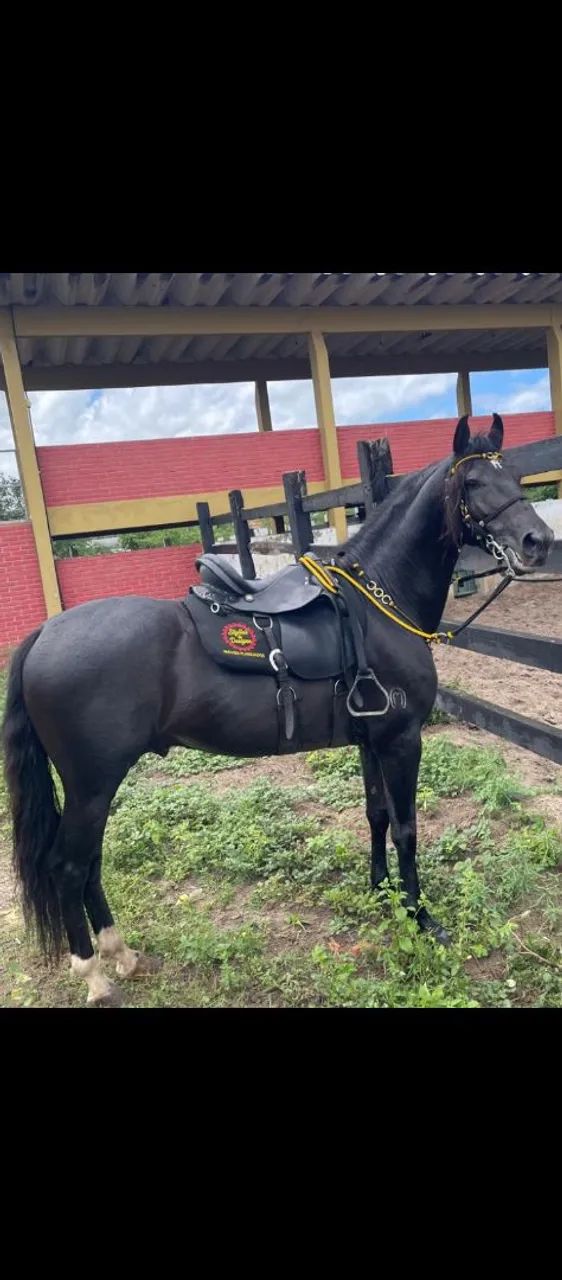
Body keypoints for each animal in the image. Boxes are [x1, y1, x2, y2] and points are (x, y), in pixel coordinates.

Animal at [2, 414, 554, 1006]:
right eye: (472, 483)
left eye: (515, 475)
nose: (539, 541)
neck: (378, 603)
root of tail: (44, 633)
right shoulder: (402, 741)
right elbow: (407, 828)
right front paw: (420, 917)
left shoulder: (371, 741)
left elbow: (377, 815)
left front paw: (379, 890)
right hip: (92, 785)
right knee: (68, 866)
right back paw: (96, 975)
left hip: (93, 789)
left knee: (90, 863)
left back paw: (121, 953)